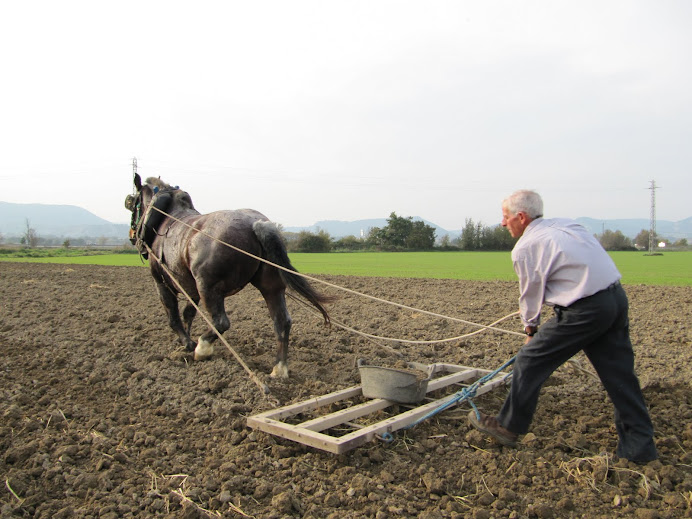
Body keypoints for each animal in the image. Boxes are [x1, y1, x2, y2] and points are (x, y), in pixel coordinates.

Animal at [123, 174, 332, 378]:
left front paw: (188, 343)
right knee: (282, 321)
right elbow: (188, 313)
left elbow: (174, 317)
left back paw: (202, 348)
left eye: (133, 203)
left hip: (208, 288)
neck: (167, 220)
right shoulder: (190, 287)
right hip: (271, 287)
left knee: (221, 322)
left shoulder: (163, 283)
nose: (132, 235)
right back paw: (278, 370)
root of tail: (255, 224)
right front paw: (188, 340)